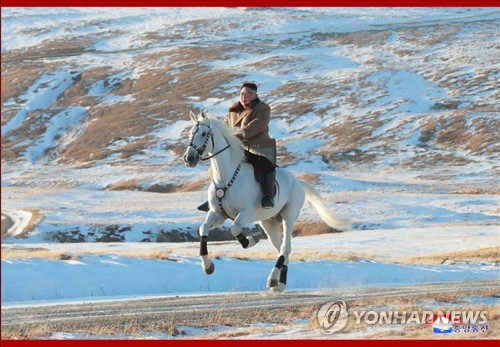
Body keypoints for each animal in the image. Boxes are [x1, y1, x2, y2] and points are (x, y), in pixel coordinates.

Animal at [182, 111, 350, 294]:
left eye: (203, 134)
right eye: (190, 133)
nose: (189, 158)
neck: (226, 177)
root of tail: (298, 182)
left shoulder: (246, 213)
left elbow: (234, 228)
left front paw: (250, 240)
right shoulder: (217, 214)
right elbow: (203, 228)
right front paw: (207, 267)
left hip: (289, 216)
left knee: (285, 247)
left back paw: (272, 280)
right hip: (268, 223)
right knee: (282, 249)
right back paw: (280, 284)